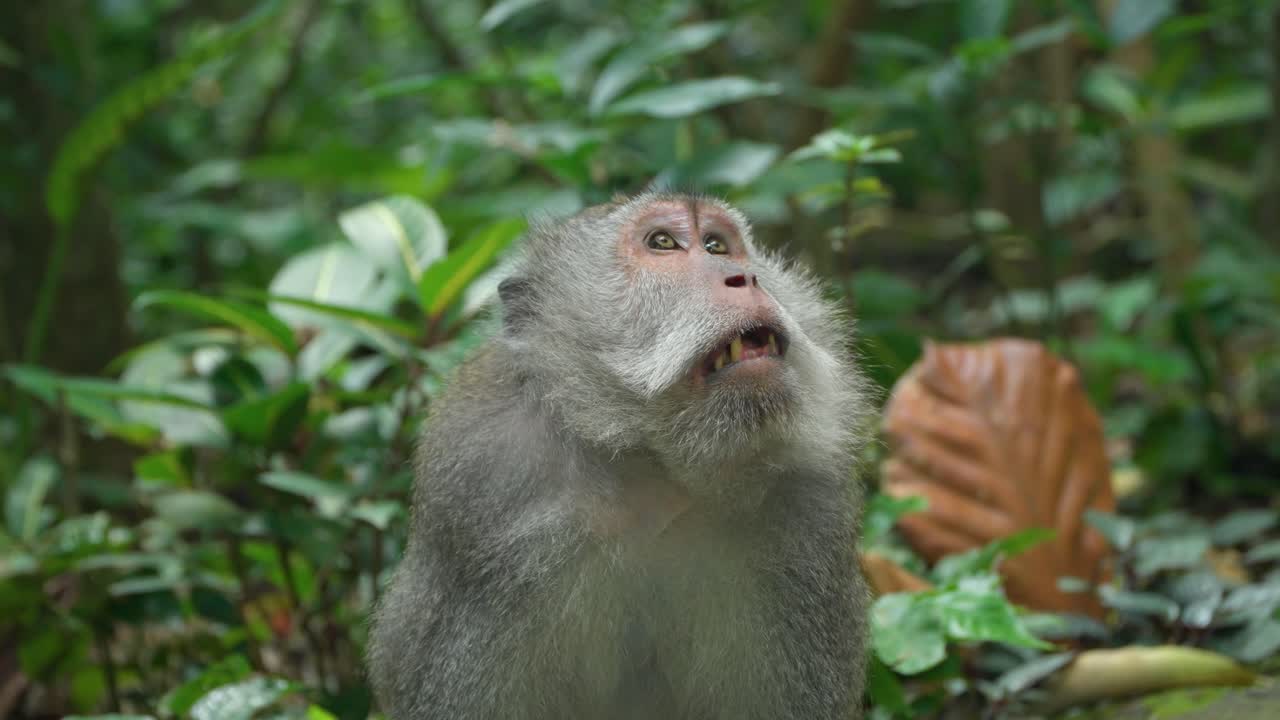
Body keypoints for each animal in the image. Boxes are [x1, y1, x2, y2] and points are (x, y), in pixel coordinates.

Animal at [367, 192, 871, 719]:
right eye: (663, 243)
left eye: (717, 245)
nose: (746, 277)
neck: (652, 469)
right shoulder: (483, 492)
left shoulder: (808, 517)